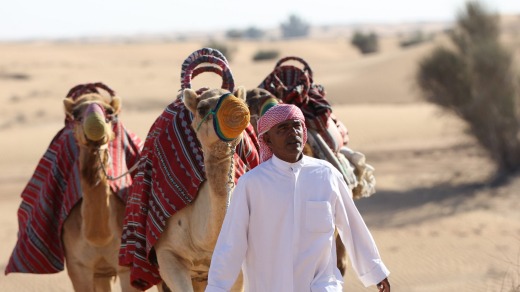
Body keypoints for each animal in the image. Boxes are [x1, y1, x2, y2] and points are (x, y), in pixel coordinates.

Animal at [61, 90, 140, 290]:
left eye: (110, 111)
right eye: (75, 114)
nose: (95, 126)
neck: (99, 237)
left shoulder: (126, 266)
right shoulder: (77, 267)